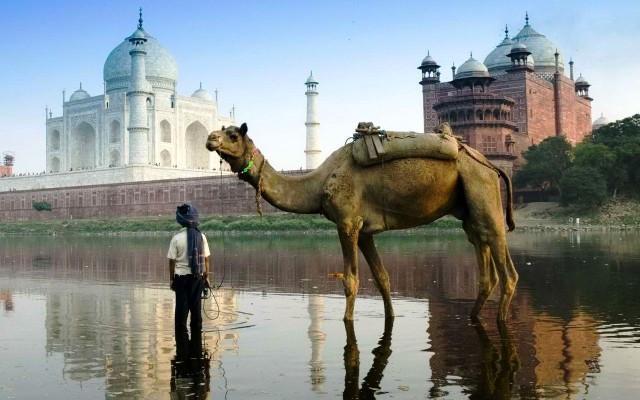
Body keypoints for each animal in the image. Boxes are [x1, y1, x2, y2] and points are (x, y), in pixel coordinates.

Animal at [208, 122, 516, 322]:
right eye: (221, 131)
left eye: (233, 134)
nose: (210, 138)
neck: (318, 183)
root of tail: (491, 164)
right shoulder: (365, 231)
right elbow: (382, 278)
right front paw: (391, 316)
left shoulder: (347, 222)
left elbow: (351, 280)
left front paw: (347, 320)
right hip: (468, 209)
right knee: (483, 261)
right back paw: (474, 317)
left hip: (482, 188)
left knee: (507, 268)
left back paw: (500, 320)